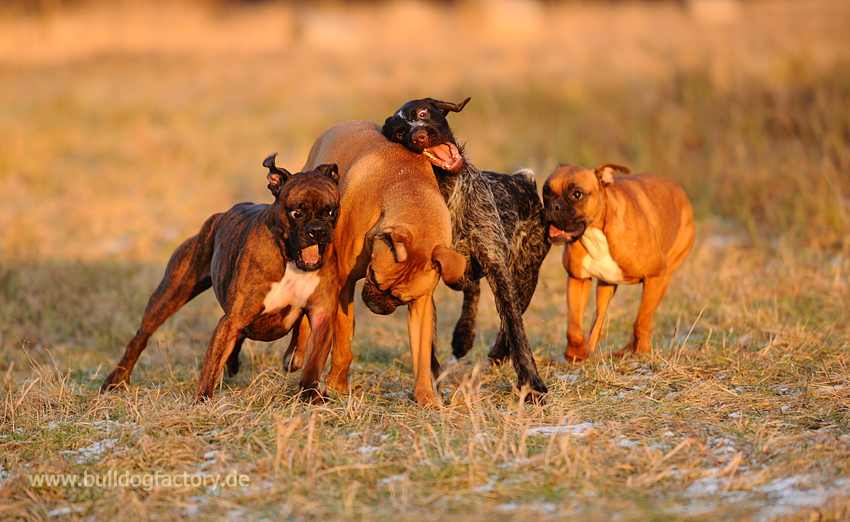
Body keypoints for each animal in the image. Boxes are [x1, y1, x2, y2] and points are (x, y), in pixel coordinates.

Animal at [104, 156, 342, 400]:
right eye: (296, 213)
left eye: (331, 211)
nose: (317, 229)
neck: (290, 259)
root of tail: (221, 215)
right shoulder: (230, 320)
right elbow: (210, 366)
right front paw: (201, 401)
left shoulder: (322, 315)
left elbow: (315, 361)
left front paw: (311, 392)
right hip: (170, 294)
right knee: (140, 338)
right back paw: (115, 381)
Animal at [286, 121, 464, 406]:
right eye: (373, 277)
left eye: (401, 299)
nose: (376, 306)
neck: (410, 191)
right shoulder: (343, 286)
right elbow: (343, 347)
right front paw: (336, 386)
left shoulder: (422, 305)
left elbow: (422, 357)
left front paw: (427, 398)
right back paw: (297, 355)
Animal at [380, 96, 548, 394]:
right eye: (399, 134)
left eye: (422, 112)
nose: (418, 136)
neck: (446, 193)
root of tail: (522, 180)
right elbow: (426, 344)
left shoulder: (497, 266)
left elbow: (515, 327)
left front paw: (531, 384)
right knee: (472, 289)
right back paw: (463, 337)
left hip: (525, 274)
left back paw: (496, 352)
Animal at [540, 162, 692, 358]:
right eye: (546, 190)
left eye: (577, 194)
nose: (553, 206)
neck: (596, 233)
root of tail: (678, 189)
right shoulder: (577, 280)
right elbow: (574, 327)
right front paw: (576, 353)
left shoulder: (654, 278)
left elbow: (642, 320)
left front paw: (642, 352)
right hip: (606, 286)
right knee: (597, 323)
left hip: (664, 279)